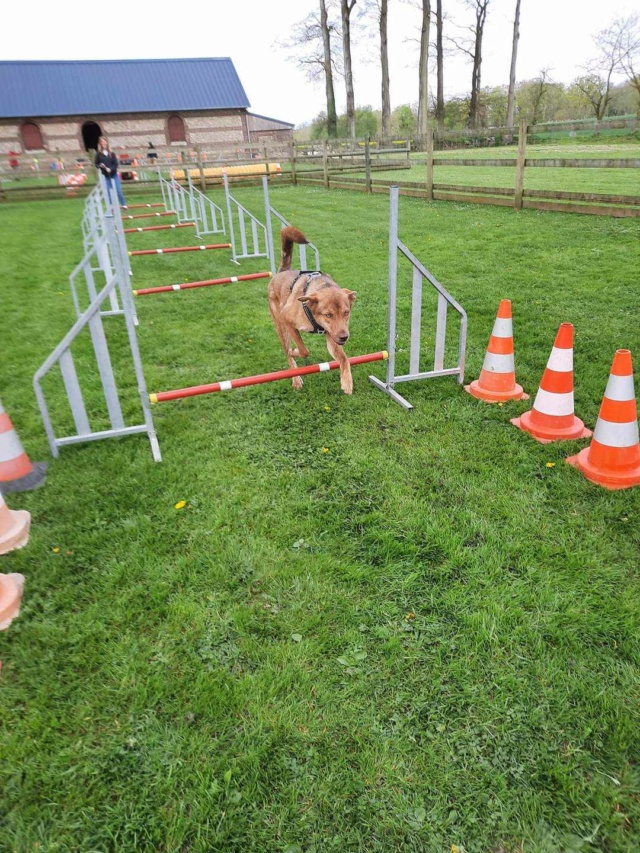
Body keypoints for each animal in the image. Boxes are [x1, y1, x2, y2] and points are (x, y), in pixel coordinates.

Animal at [268, 225, 358, 394]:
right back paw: (296, 379)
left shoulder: (332, 336)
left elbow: (344, 358)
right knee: (287, 354)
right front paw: (295, 351)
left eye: (346, 313)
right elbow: (303, 350)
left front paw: (347, 382)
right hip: (281, 328)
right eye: (328, 315)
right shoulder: (287, 319)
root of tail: (281, 273)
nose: (344, 337)